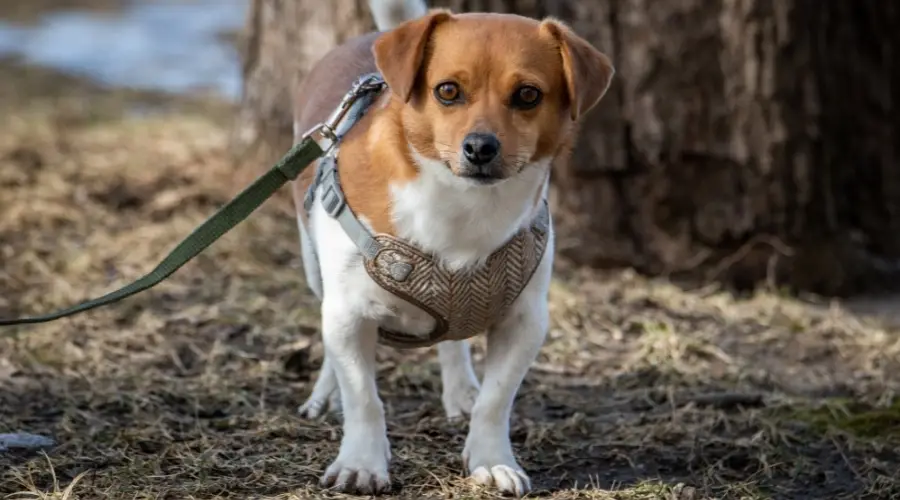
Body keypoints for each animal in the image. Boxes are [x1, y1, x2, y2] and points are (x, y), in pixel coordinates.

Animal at [288, 0, 612, 494]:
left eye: (528, 95)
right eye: (447, 91)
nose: (480, 147)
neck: (460, 207)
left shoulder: (525, 321)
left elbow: (496, 401)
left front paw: (492, 460)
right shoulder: (348, 313)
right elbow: (364, 397)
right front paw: (362, 462)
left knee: (452, 343)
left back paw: (460, 389)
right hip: (315, 271)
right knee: (335, 351)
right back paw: (327, 394)